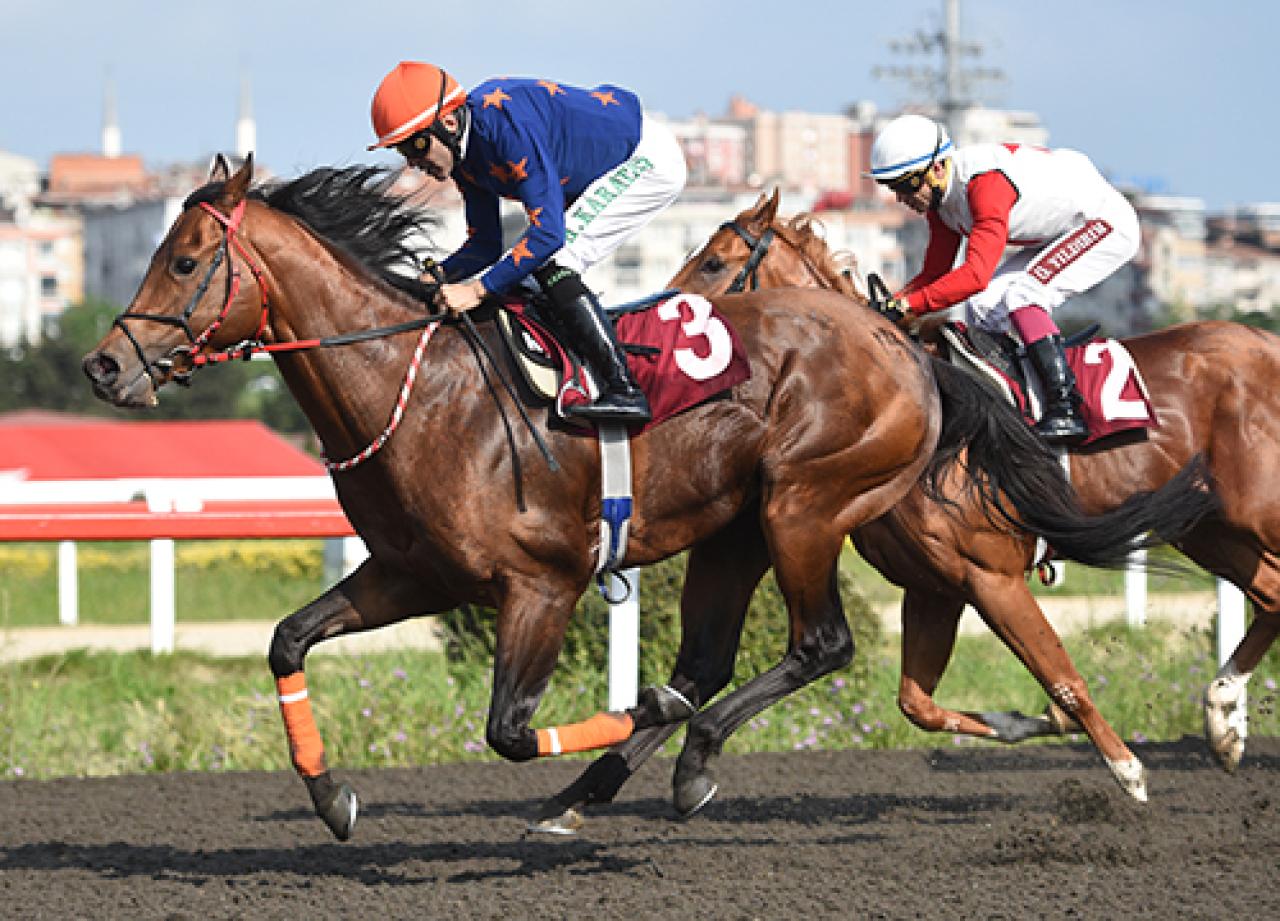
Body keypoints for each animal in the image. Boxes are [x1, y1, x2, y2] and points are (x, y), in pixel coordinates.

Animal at [680, 190, 1269, 772]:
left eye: (713, 262)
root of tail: (1264, 342)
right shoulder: (934, 585)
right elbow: (917, 704)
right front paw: (1036, 722)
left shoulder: (993, 576)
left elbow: (1066, 681)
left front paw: (1130, 773)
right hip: (1210, 530)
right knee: (1271, 595)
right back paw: (1222, 717)